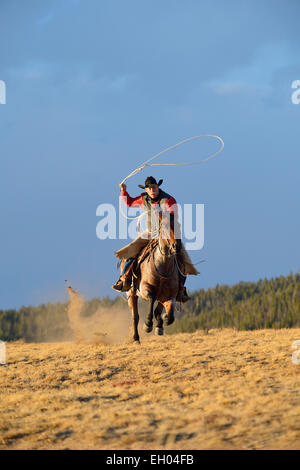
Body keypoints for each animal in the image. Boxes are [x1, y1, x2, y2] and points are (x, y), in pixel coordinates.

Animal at [126, 211, 180, 344]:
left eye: (179, 226)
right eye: (164, 228)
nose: (176, 246)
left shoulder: (171, 295)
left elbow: (169, 315)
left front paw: (162, 322)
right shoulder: (145, 289)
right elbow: (151, 299)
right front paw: (148, 324)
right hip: (131, 294)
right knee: (135, 316)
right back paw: (136, 338)